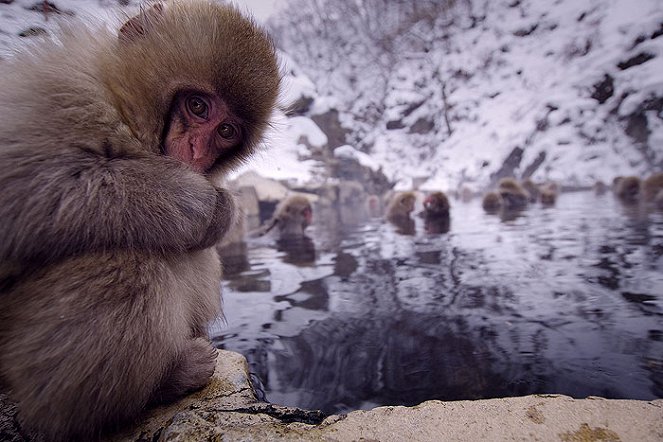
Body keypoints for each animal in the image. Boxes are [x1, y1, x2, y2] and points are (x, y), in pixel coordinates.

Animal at [0, 1, 278, 440]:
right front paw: (198, 202)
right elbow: (25, 185)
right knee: (132, 265)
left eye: (226, 130)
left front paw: (224, 209)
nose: (195, 151)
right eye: (197, 106)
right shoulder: (59, 91)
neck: (124, 109)